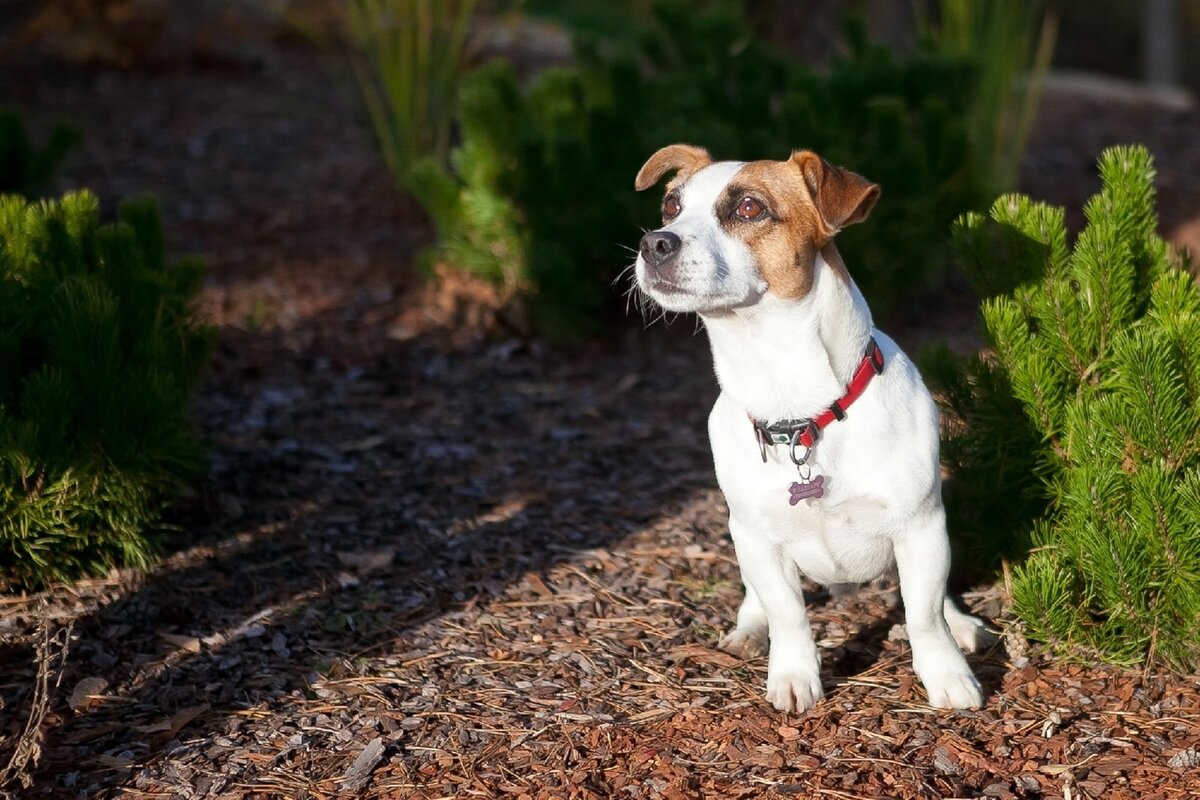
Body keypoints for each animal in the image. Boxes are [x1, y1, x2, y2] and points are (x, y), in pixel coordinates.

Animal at [633, 145, 988, 714]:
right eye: (671, 206)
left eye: (750, 208)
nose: (653, 242)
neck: (796, 408)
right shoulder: (758, 538)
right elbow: (788, 614)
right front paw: (795, 676)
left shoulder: (921, 528)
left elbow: (924, 614)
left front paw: (946, 673)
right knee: (758, 599)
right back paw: (748, 629)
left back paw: (963, 625)